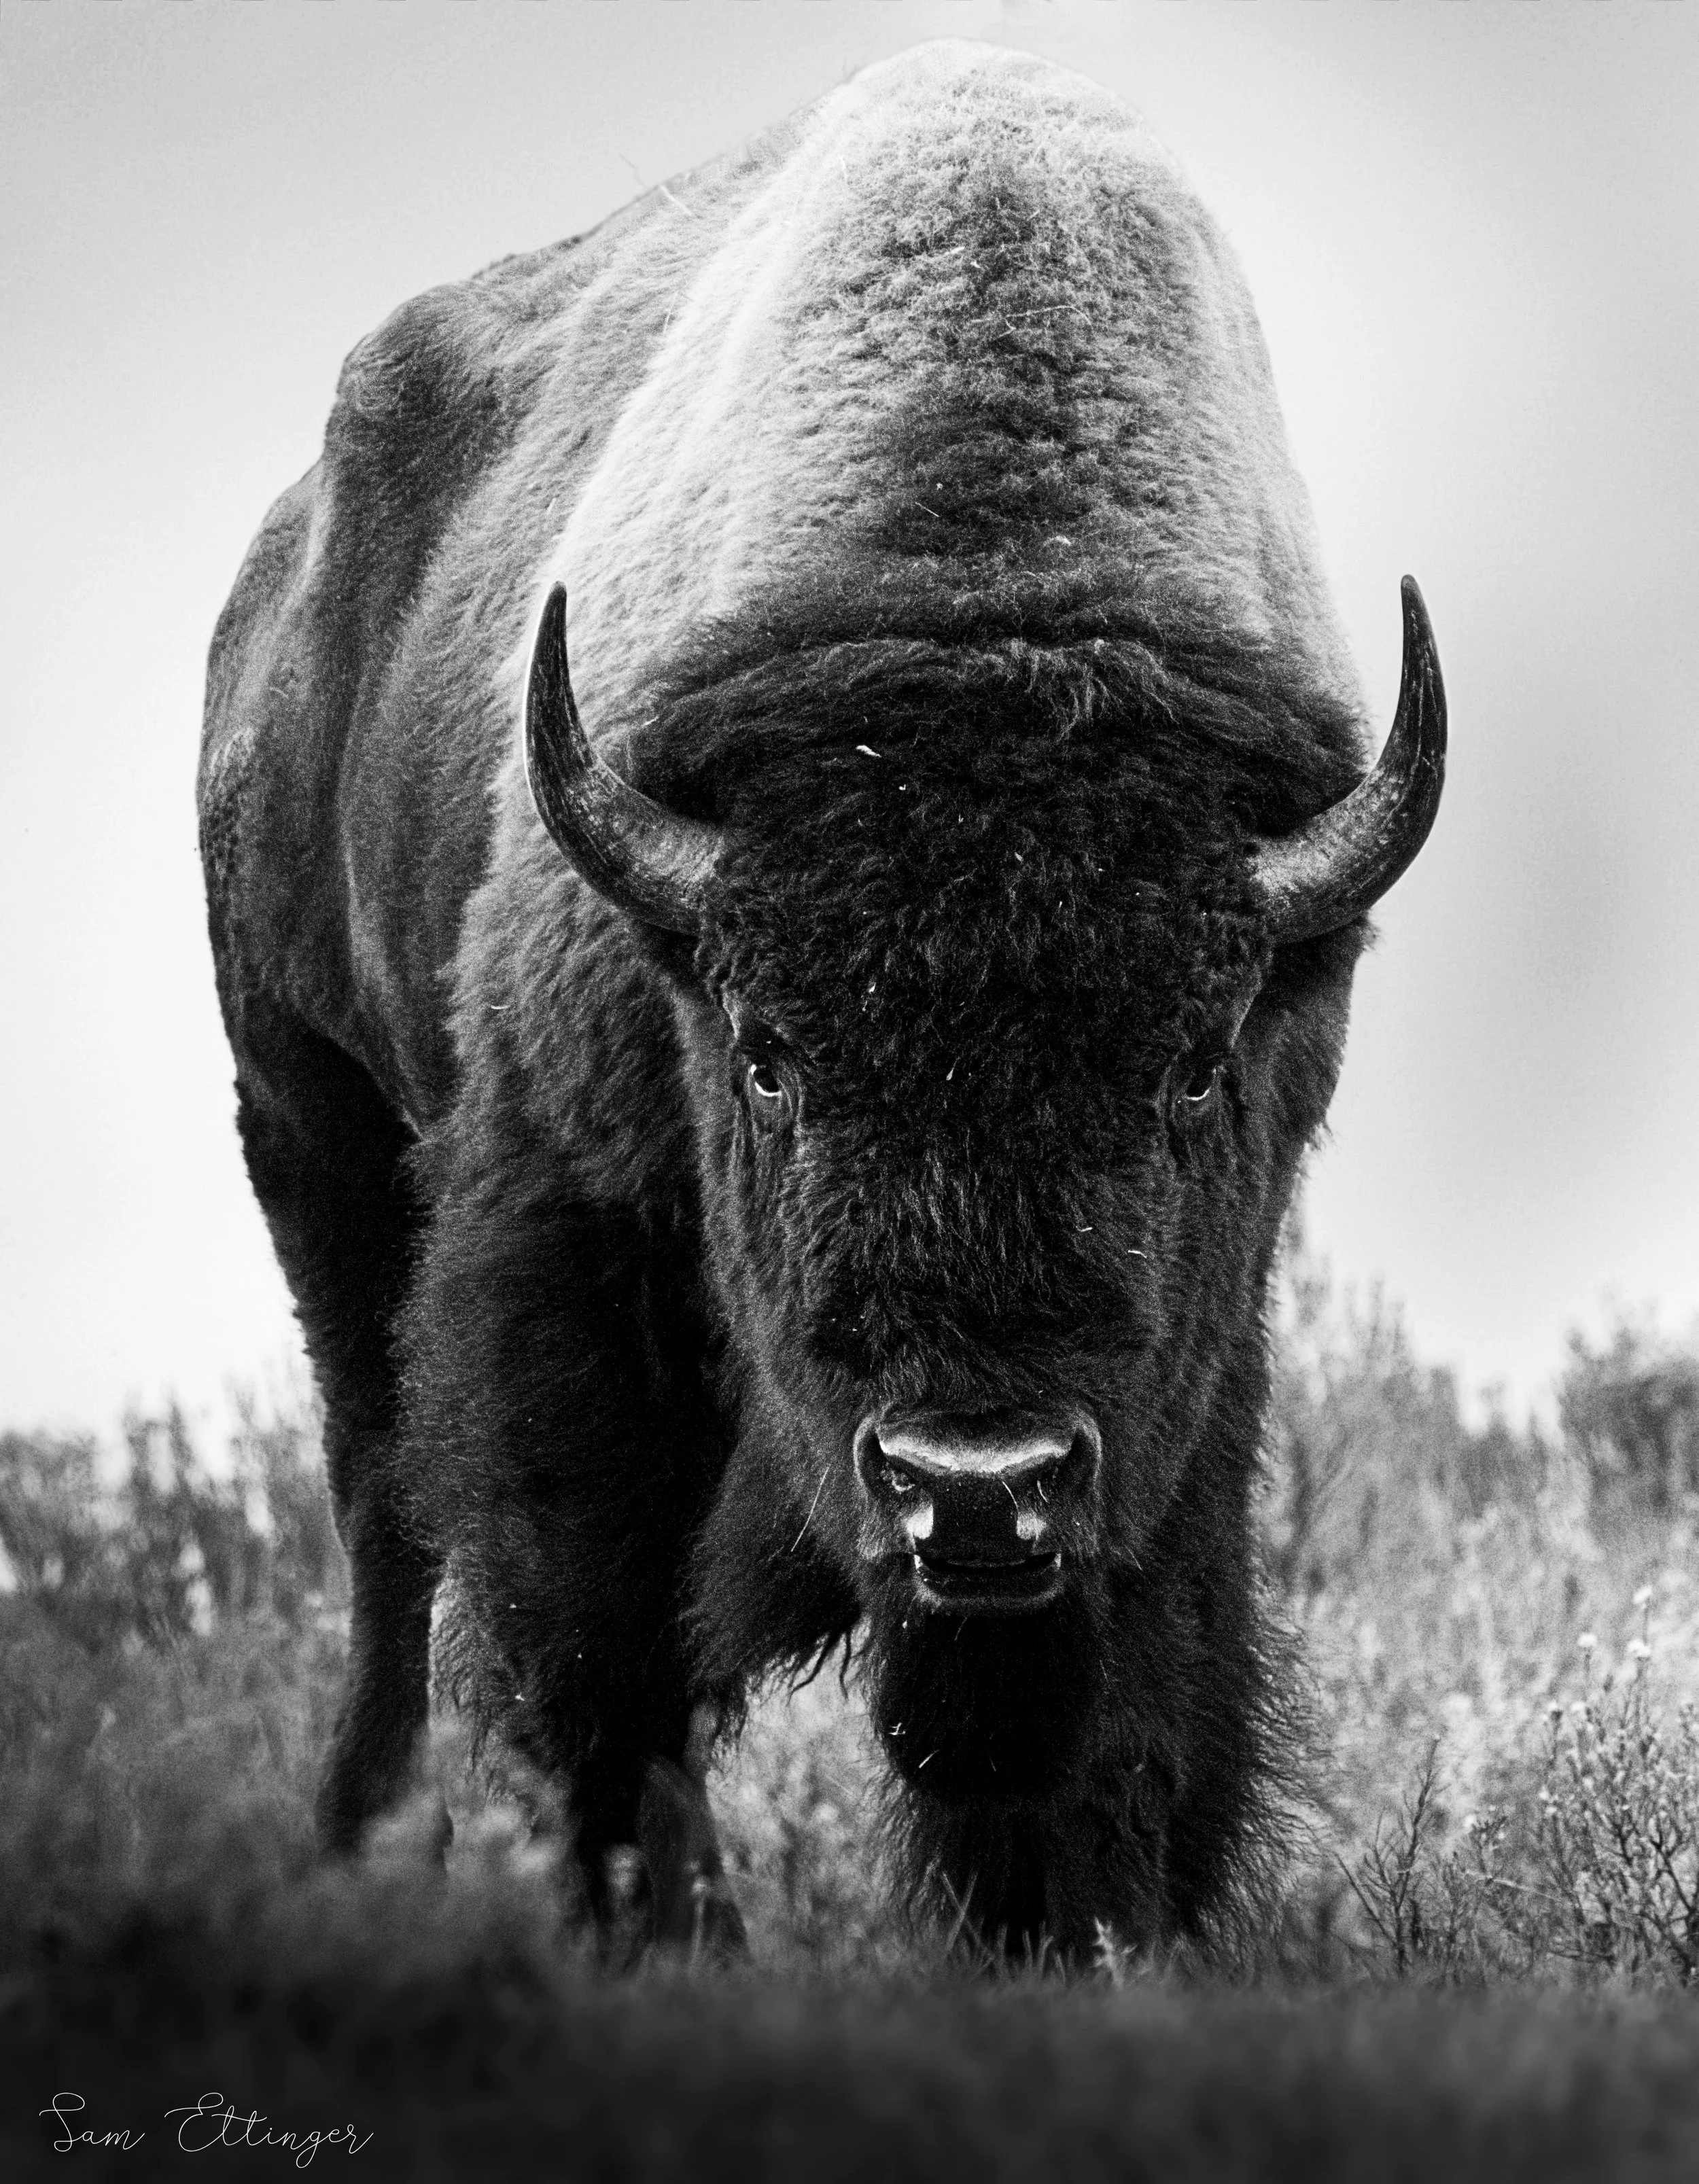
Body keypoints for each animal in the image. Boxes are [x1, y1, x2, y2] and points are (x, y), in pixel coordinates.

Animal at [198, 41, 1444, 1960]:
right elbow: (591, 1633)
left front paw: (1081, 1938)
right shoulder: (565, 1217)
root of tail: (276, 582)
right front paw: (653, 1929)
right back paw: (371, 1840)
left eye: (1186, 1067)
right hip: (308, 1123)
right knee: (383, 1515)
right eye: (770, 1061)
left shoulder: (1192, 1353)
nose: (975, 1486)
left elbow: (1134, 1671)